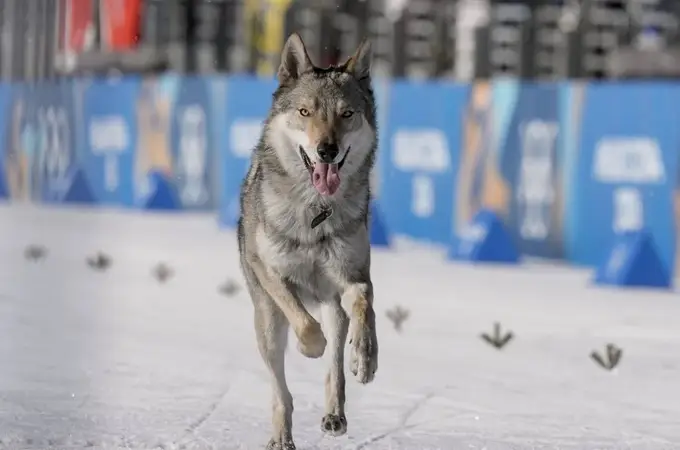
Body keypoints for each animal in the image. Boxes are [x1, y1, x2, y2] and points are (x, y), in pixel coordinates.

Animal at [237, 33, 379, 449]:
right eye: (304, 112)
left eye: (346, 114)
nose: (326, 150)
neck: (316, 211)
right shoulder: (271, 272)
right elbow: (303, 323)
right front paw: (308, 347)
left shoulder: (354, 276)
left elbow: (365, 306)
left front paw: (365, 358)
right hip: (266, 324)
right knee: (281, 392)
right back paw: (281, 438)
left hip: (331, 306)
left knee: (336, 363)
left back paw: (335, 415)